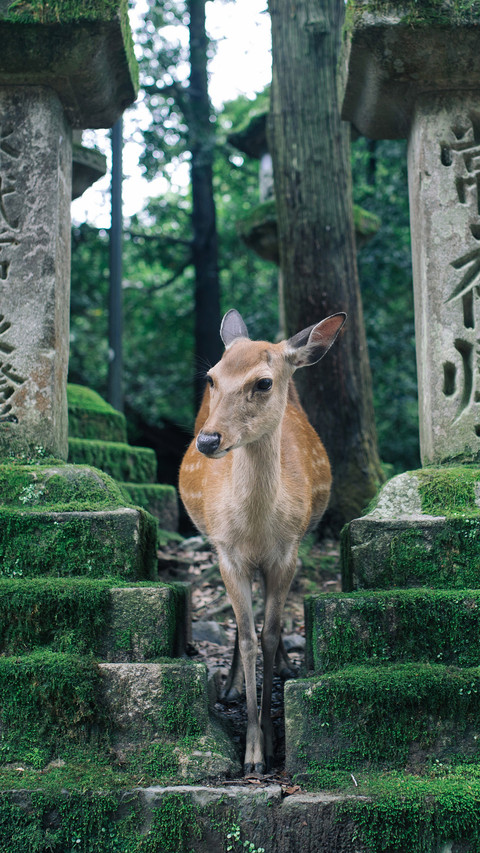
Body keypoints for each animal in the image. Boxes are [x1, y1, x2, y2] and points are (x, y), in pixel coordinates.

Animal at [179, 308, 346, 775]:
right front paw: (252, 753)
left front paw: (271, 743)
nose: (208, 440)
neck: (255, 529)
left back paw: (287, 668)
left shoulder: (286, 553)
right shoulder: (227, 553)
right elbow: (248, 636)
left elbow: (269, 635)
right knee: (241, 626)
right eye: (212, 377)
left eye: (264, 382)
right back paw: (231, 687)